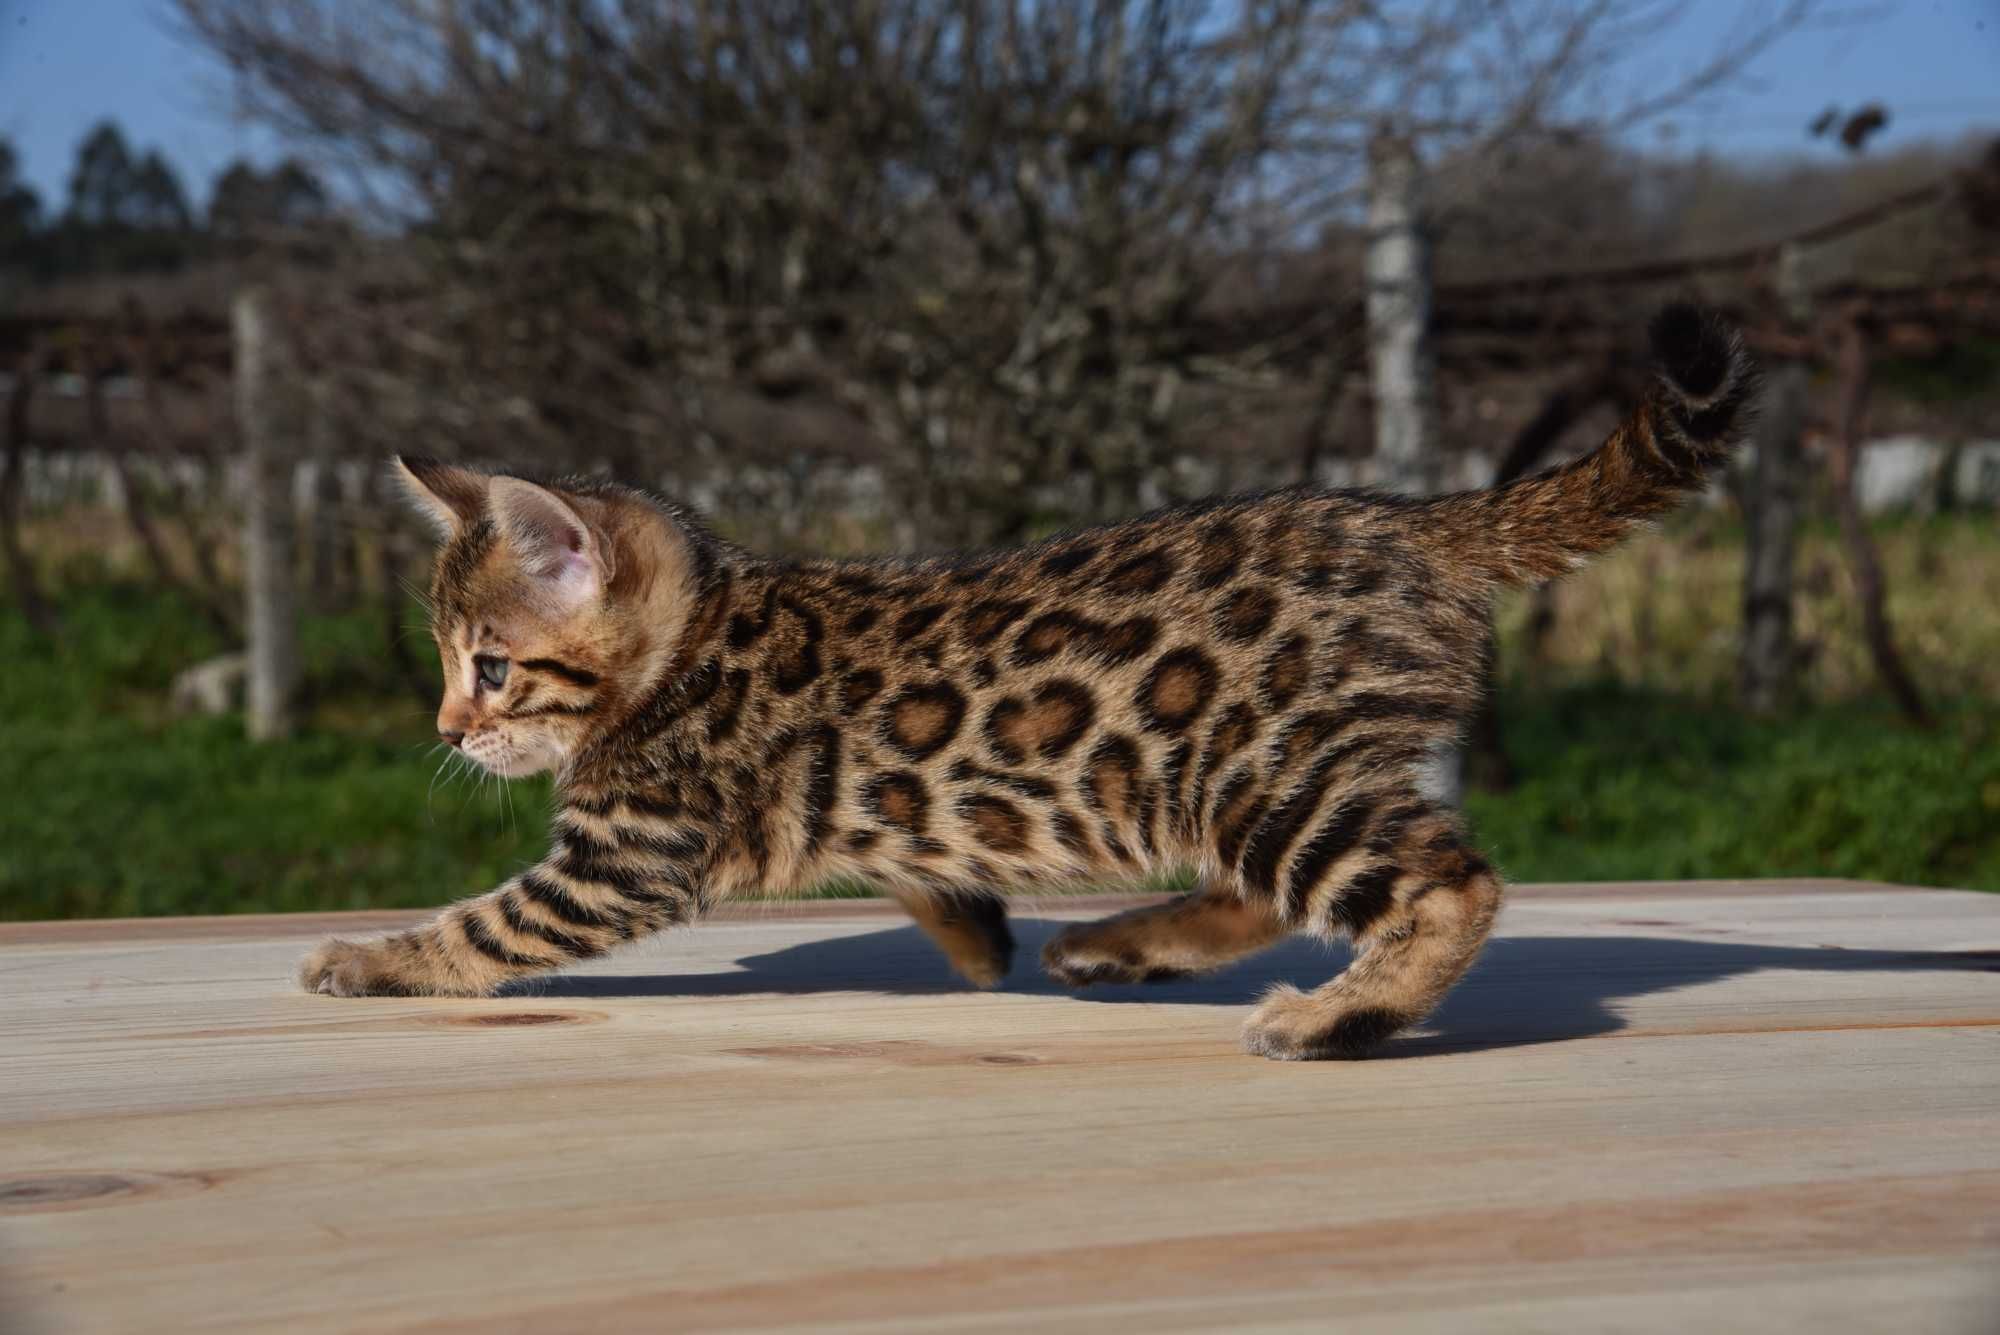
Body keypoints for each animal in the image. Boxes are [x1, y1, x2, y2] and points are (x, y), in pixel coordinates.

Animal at [304, 305, 1760, 1063]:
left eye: (491, 667)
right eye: (450, 665)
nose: (445, 726)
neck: (691, 632)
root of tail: (1406, 520)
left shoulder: (626, 853)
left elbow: (490, 925)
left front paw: (369, 956)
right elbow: (915, 857)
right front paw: (972, 935)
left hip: (1252, 766)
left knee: (1450, 881)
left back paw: (1343, 1015)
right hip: (1245, 776)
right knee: (1277, 887)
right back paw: (1119, 943)